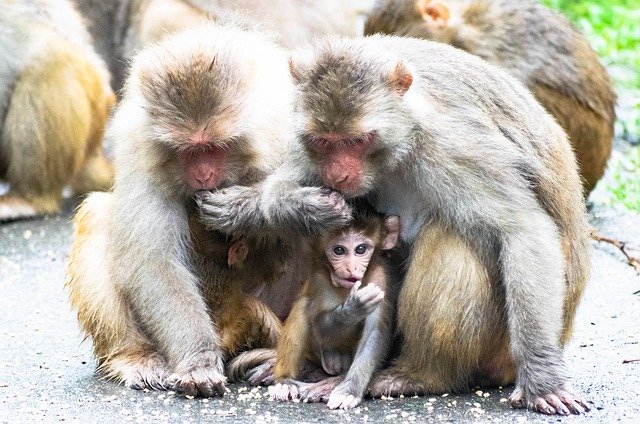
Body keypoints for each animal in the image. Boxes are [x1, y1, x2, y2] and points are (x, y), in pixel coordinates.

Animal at [65, 23, 348, 397]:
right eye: (188, 151)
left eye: (213, 147)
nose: (202, 175)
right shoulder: (141, 147)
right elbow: (154, 262)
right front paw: (197, 361)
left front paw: (279, 209)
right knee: (98, 215)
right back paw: (135, 355)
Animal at [270, 202, 400, 409]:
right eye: (339, 250)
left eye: (361, 249)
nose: (350, 268)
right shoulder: (320, 277)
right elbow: (320, 326)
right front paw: (354, 308)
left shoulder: (380, 279)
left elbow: (373, 334)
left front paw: (348, 391)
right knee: (302, 307)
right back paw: (284, 381)